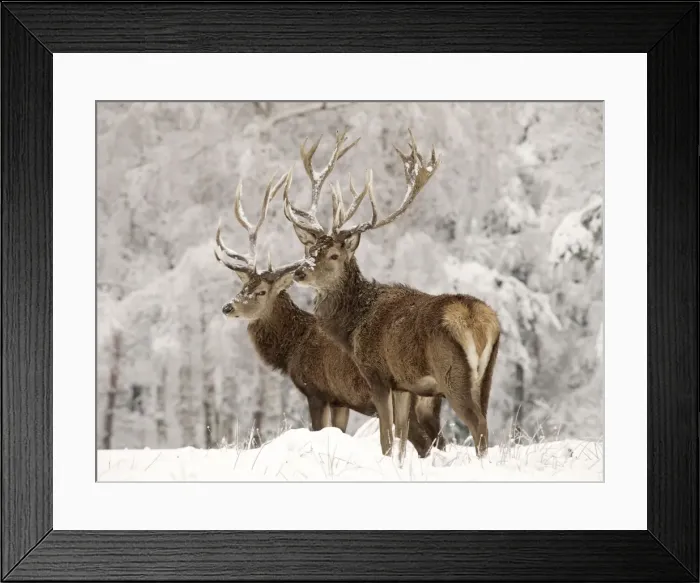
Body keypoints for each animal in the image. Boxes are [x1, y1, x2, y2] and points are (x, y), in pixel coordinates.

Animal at [214, 167, 443, 456]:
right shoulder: (340, 400)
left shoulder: (317, 392)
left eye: (261, 292)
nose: (227, 307)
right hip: (429, 407)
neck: (292, 348)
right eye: (243, 285)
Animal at [284, 129, 501, 461]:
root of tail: (477, 320)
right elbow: (400, 437)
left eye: (334, 255)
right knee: (485, 420)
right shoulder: (404, 385)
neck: (352, 328)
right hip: (487, 375)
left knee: (477, 425)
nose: (300, 272)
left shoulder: (377, 374)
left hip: (453, 373)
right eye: (311, 251)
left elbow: (386, 438)